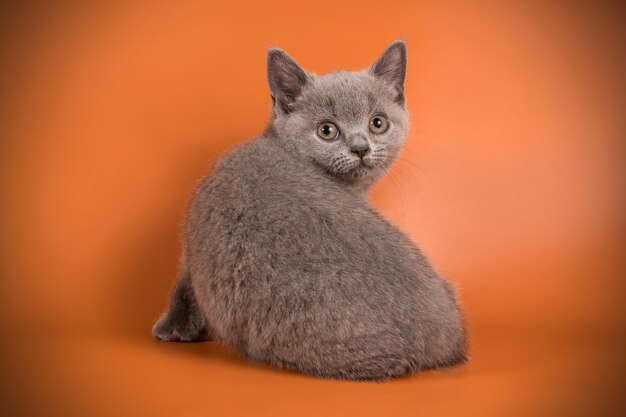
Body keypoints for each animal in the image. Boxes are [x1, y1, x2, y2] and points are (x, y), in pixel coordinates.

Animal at [151, 39, 464, 380]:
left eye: (378, 123)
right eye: (327, 130)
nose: (360, 148)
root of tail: (447, 338)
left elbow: (185, 283)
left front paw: (173, 329)